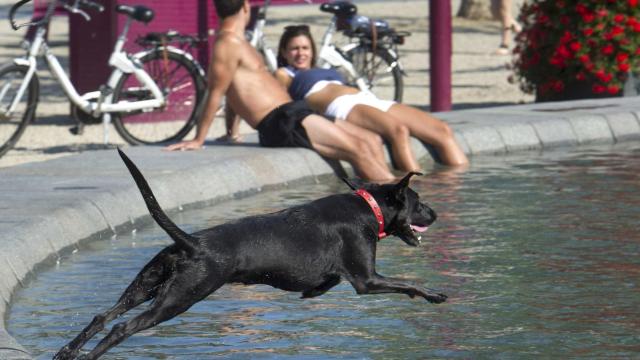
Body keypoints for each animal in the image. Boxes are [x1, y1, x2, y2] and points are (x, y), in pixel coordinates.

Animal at [55, 148, 444, 358]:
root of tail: (191, 242)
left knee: (102, 316)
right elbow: (407, 283)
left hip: (147, 284)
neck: (367, 207)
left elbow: (328, 281)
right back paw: (89, 355)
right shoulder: (367, 281)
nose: (435, 214)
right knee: (122, 327)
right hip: (180, 297)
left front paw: (314, 290)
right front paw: (434, 294)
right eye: (418, 202)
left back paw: (68, 352)